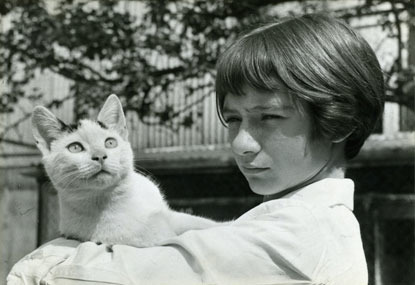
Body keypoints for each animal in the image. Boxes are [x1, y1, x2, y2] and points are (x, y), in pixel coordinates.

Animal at [32, 93, 218, 246]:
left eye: (110, 142)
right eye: (75, 148)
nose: (100, 156)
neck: (111, 202)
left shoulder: (170, 216)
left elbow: (205, 224)